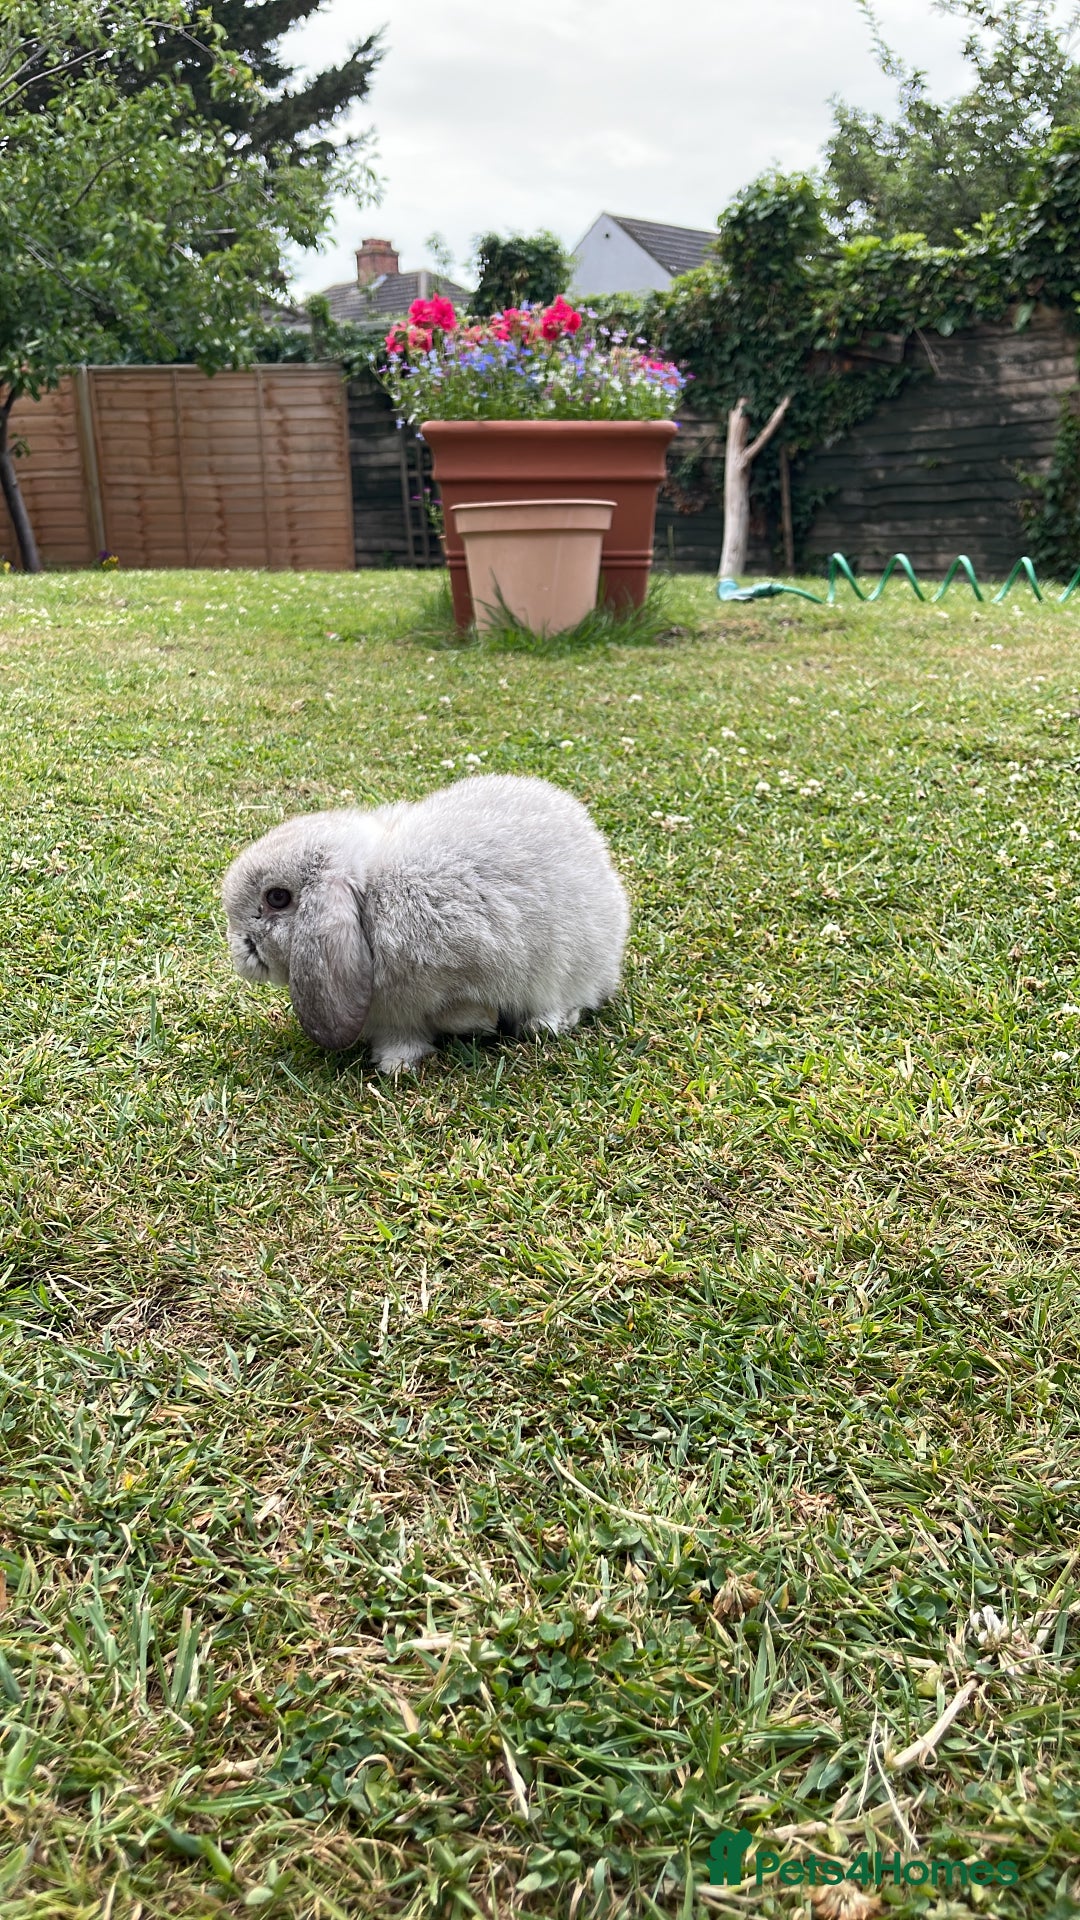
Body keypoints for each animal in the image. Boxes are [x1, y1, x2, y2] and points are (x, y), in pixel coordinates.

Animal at [221, 773, 630, 1073]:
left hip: (571, 965)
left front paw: (483, 1023)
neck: (370, 899)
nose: (240, 953)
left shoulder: (465, 968)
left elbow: (457, 1012)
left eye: (277, 898)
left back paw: (544, 1024)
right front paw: (396, 1063)